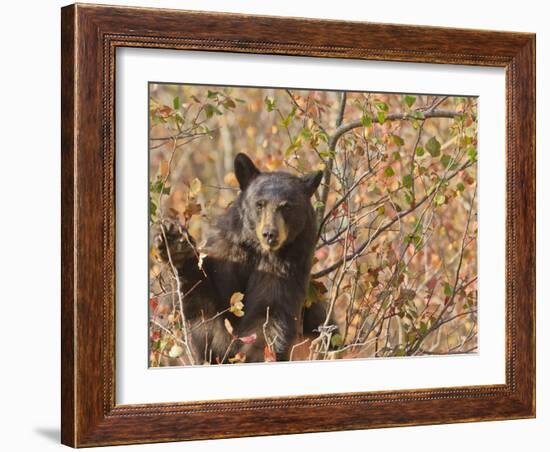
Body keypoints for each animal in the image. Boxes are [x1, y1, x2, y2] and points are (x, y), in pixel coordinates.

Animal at [157, 153, 332, 364]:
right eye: (259, 204)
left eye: (286, 207)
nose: (269, 234)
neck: (258, 251)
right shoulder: (228, 255)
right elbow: (205, 306)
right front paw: (176, 244)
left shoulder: (287, 268)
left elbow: (269, 314)